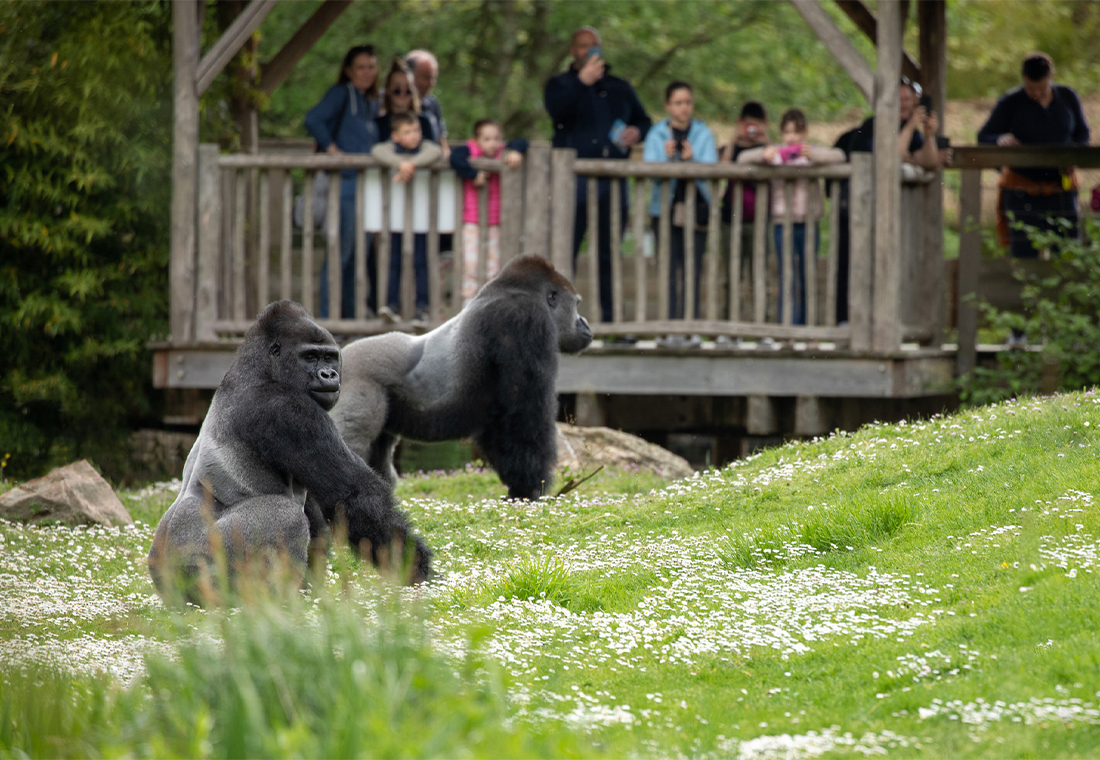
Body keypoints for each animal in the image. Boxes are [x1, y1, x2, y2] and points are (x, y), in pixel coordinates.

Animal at [148, 296, 431, 602]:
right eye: (309, 357)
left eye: (329, 357)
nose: (328, 374)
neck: (262, 370)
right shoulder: (288, 410)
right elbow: (354, 496)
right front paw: (415, 568)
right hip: (194, 565)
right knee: (286, 517)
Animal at [330, 257, 594, 499]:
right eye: (577, 304)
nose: (586, 323)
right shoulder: (527, 319)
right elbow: (526, 413)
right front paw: (530, 488)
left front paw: (519, 487)